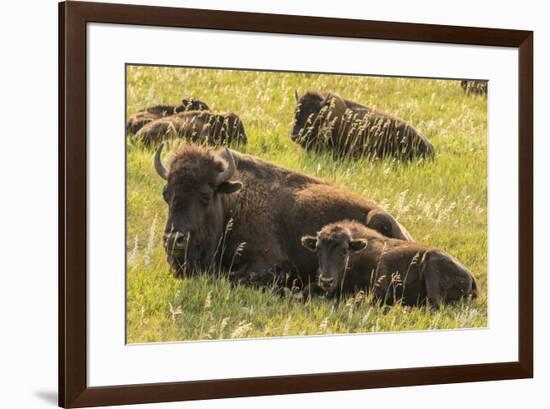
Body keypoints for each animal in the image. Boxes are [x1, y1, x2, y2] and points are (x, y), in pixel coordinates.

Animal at [302, 220, 478, 306]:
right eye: (317, 249)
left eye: (345, 250)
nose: (326, 281)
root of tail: (470, 276)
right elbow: (307, 289)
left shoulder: (379, 289)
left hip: (432, 265)